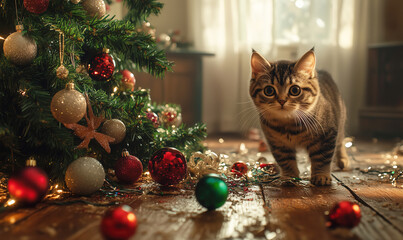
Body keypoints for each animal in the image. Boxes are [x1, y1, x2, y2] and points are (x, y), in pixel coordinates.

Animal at [251, 48, 348, 186]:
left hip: (340, 121)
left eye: (295, 90)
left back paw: (343, 160)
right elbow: (286, 160)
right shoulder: (277, 143)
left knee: (341, 142)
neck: (289, 125)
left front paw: (321, 175)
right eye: (269, 91)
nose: (281, 101)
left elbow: (321, 158)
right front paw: (289, 177)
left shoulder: (327, 135)